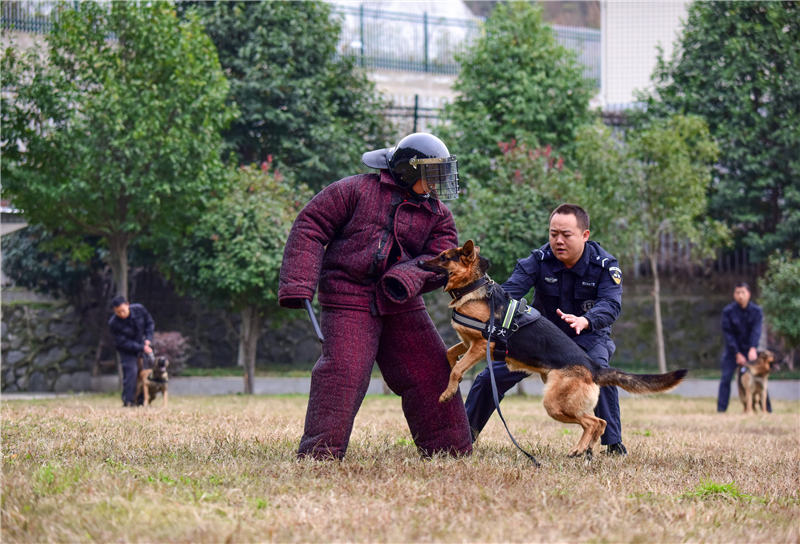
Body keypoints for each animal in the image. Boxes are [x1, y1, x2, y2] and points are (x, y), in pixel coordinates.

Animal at [418, 242, 688, 460]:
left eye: (443, 257)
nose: (419, 262)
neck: (474, 288)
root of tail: (593, 367)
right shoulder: (467, 344)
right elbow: (450, 354)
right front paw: (449, 376)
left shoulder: (481, 346)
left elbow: (458, 368)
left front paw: (447, 392)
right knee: (598, 422)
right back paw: (585, 450)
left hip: (554, 404)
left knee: (594, 422)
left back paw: (581, 449)